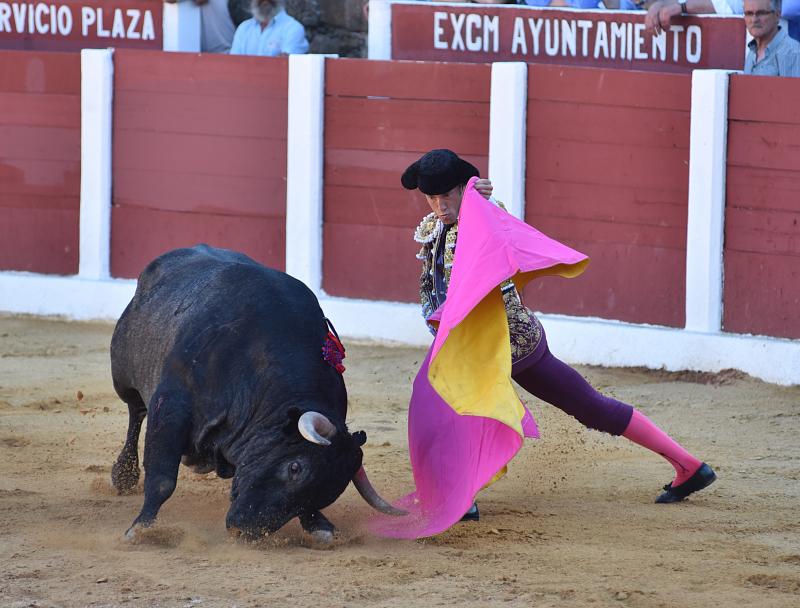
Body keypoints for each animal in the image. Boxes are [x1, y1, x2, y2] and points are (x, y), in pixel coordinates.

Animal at [109, 245, 404, 544]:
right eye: (295, 467)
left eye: (328, 493)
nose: (245, 529)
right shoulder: (171, 405)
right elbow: (162, 479)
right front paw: (141, 528)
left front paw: (320, 525)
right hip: (124, 378)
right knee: (136, 413)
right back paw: (124, 475)